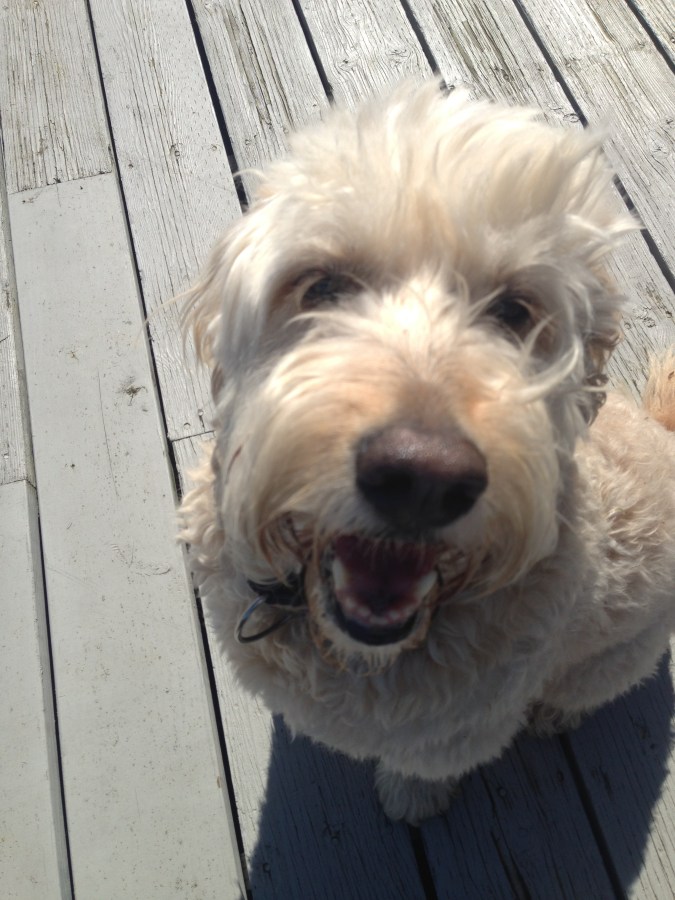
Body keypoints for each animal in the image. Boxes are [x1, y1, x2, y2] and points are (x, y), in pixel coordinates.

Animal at [180, 81, 675, 824]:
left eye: (514, 311)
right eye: (322, 286)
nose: (421, 478)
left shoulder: (460, 733)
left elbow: (419, 769)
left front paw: (409, 799)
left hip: (622, 653)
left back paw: (556, 714)